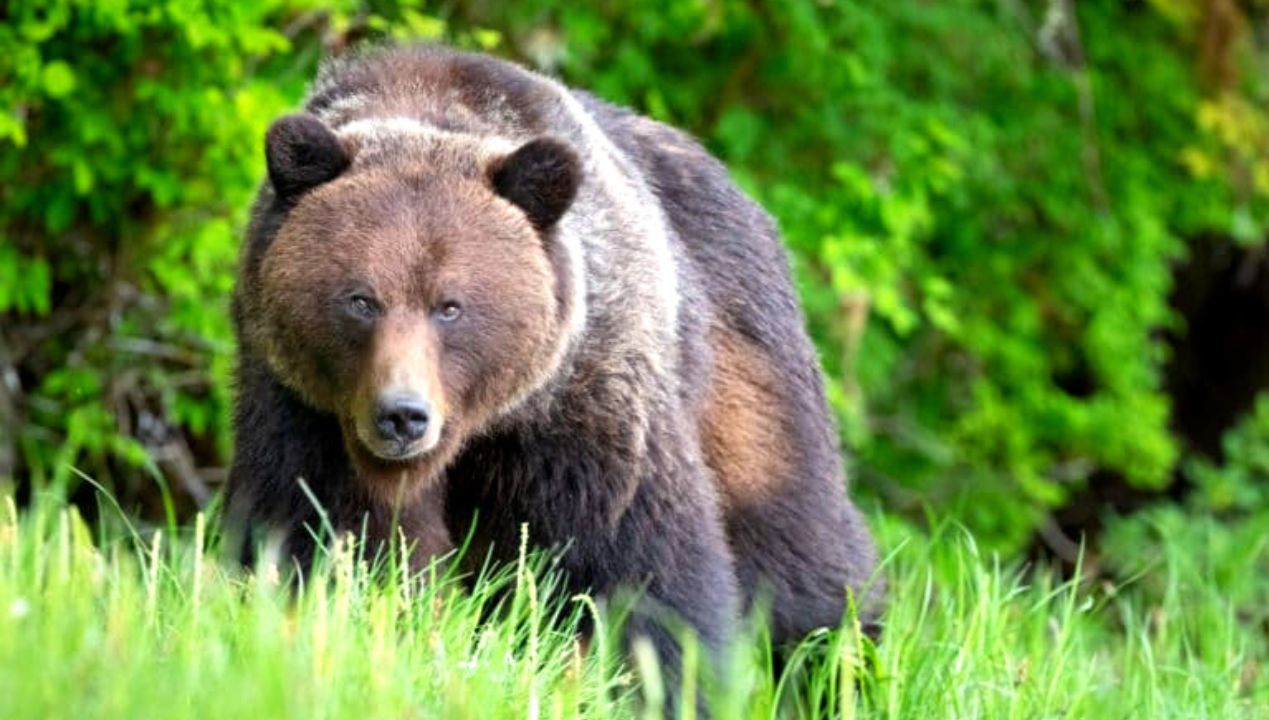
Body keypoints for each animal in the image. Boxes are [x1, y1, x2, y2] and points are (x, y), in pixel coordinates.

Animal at [225, 46, 883, 680]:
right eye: (360, 299)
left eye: (451, 305)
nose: (403, 415)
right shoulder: (303, 407)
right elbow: (325, 534)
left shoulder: (585, 398)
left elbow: (638, 559)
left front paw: (662, 674)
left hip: (744, 363)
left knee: (797, 546)